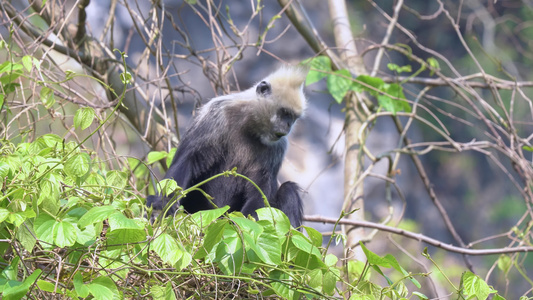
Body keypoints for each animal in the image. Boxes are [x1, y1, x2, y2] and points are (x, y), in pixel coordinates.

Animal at [149, 65, 308, 227]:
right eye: (284, 113)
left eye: (293, 118)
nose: (288, 125)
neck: (250, 128)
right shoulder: (215, 114)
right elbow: (188, 159)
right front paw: (163, 203)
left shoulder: (278, 147)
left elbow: (260, 192)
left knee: (289, 189)